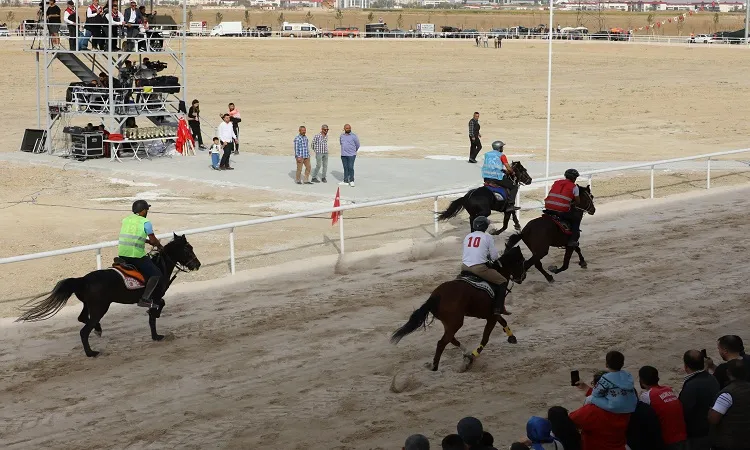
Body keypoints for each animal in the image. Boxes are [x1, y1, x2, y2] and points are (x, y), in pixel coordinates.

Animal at [17, 234, 200, 356]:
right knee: (84, 331)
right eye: (188, 249)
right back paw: (91, 352)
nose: (197, 264)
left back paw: (98, 330)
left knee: (83, 319)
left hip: (90, 306)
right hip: (100, 308)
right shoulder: (155, 297)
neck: (159, 265)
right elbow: (156, 311)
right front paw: (156, 332)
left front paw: (155, 329)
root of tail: (83, 280)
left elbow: (156, 311)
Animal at [394, 246, 528, 372]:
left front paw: (512, 337)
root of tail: (435, 296)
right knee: (442, 342)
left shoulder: (491, 315)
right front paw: (472, 358)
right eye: (522, 261)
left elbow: (503, 321)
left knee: (451, 339)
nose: (523, 277)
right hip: (456, 322)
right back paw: (436, 366)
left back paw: (465, 353)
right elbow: (485, 338)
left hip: (450, 323)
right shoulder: (492, 316)